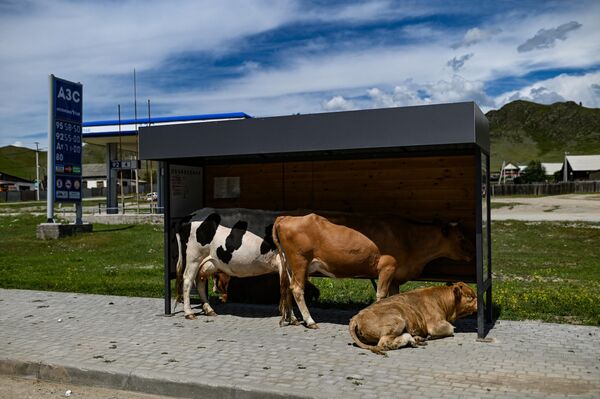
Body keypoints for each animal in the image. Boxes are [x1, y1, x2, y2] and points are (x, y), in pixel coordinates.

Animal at [272, 214, 474, 330]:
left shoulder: (395, 277)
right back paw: (310, 320)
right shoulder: (387, 267)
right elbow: (381, 295)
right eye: (461, 237)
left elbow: (395, 298)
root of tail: (287, 217)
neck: (409, 239)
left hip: (290, 264)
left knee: (287, 288)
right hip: (301, 261)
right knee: (297, 289)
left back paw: (292, 319)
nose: (471, 254)